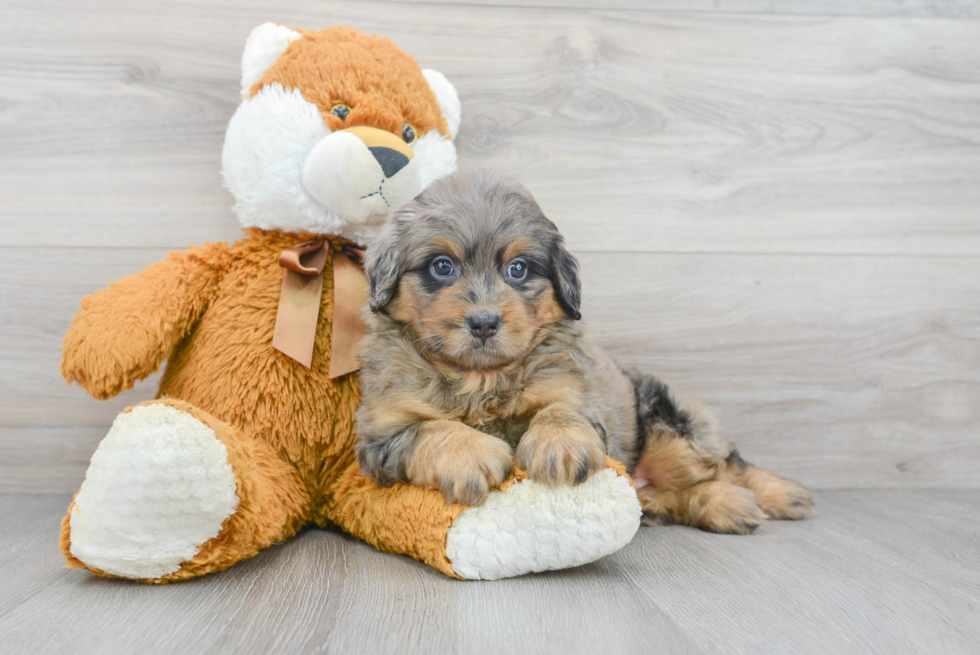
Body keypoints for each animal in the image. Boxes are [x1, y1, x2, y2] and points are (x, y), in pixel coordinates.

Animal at [356, 169, 816, 532]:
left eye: (517, 269)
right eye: (442, 266)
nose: (484, 323)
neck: (481, 378)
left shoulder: (577, 396)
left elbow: (560, 409)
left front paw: (559, 446)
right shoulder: (380, 438)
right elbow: (428, 429)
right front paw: (471, 454)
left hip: (673, 425)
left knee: (727, 464)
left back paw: (781, 494)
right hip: (648, 489)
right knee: (683, 495)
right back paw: (728, 505)